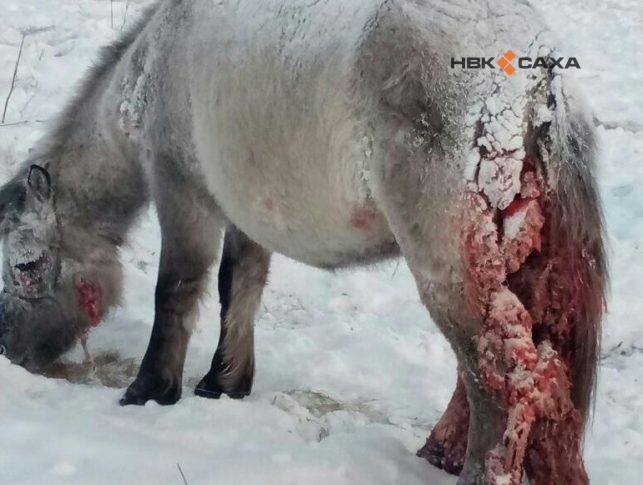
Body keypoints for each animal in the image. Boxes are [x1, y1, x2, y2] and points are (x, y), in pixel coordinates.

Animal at [0, 0, 608, 484]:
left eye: (25, 266)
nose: (11, 354)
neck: (149, 66)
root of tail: (539, 77)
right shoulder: (245, 214)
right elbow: (238, 288)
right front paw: (225, 381)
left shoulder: (184, 196)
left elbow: (175, 291)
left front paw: (150, 389)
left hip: (449, 266)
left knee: (502, 376)